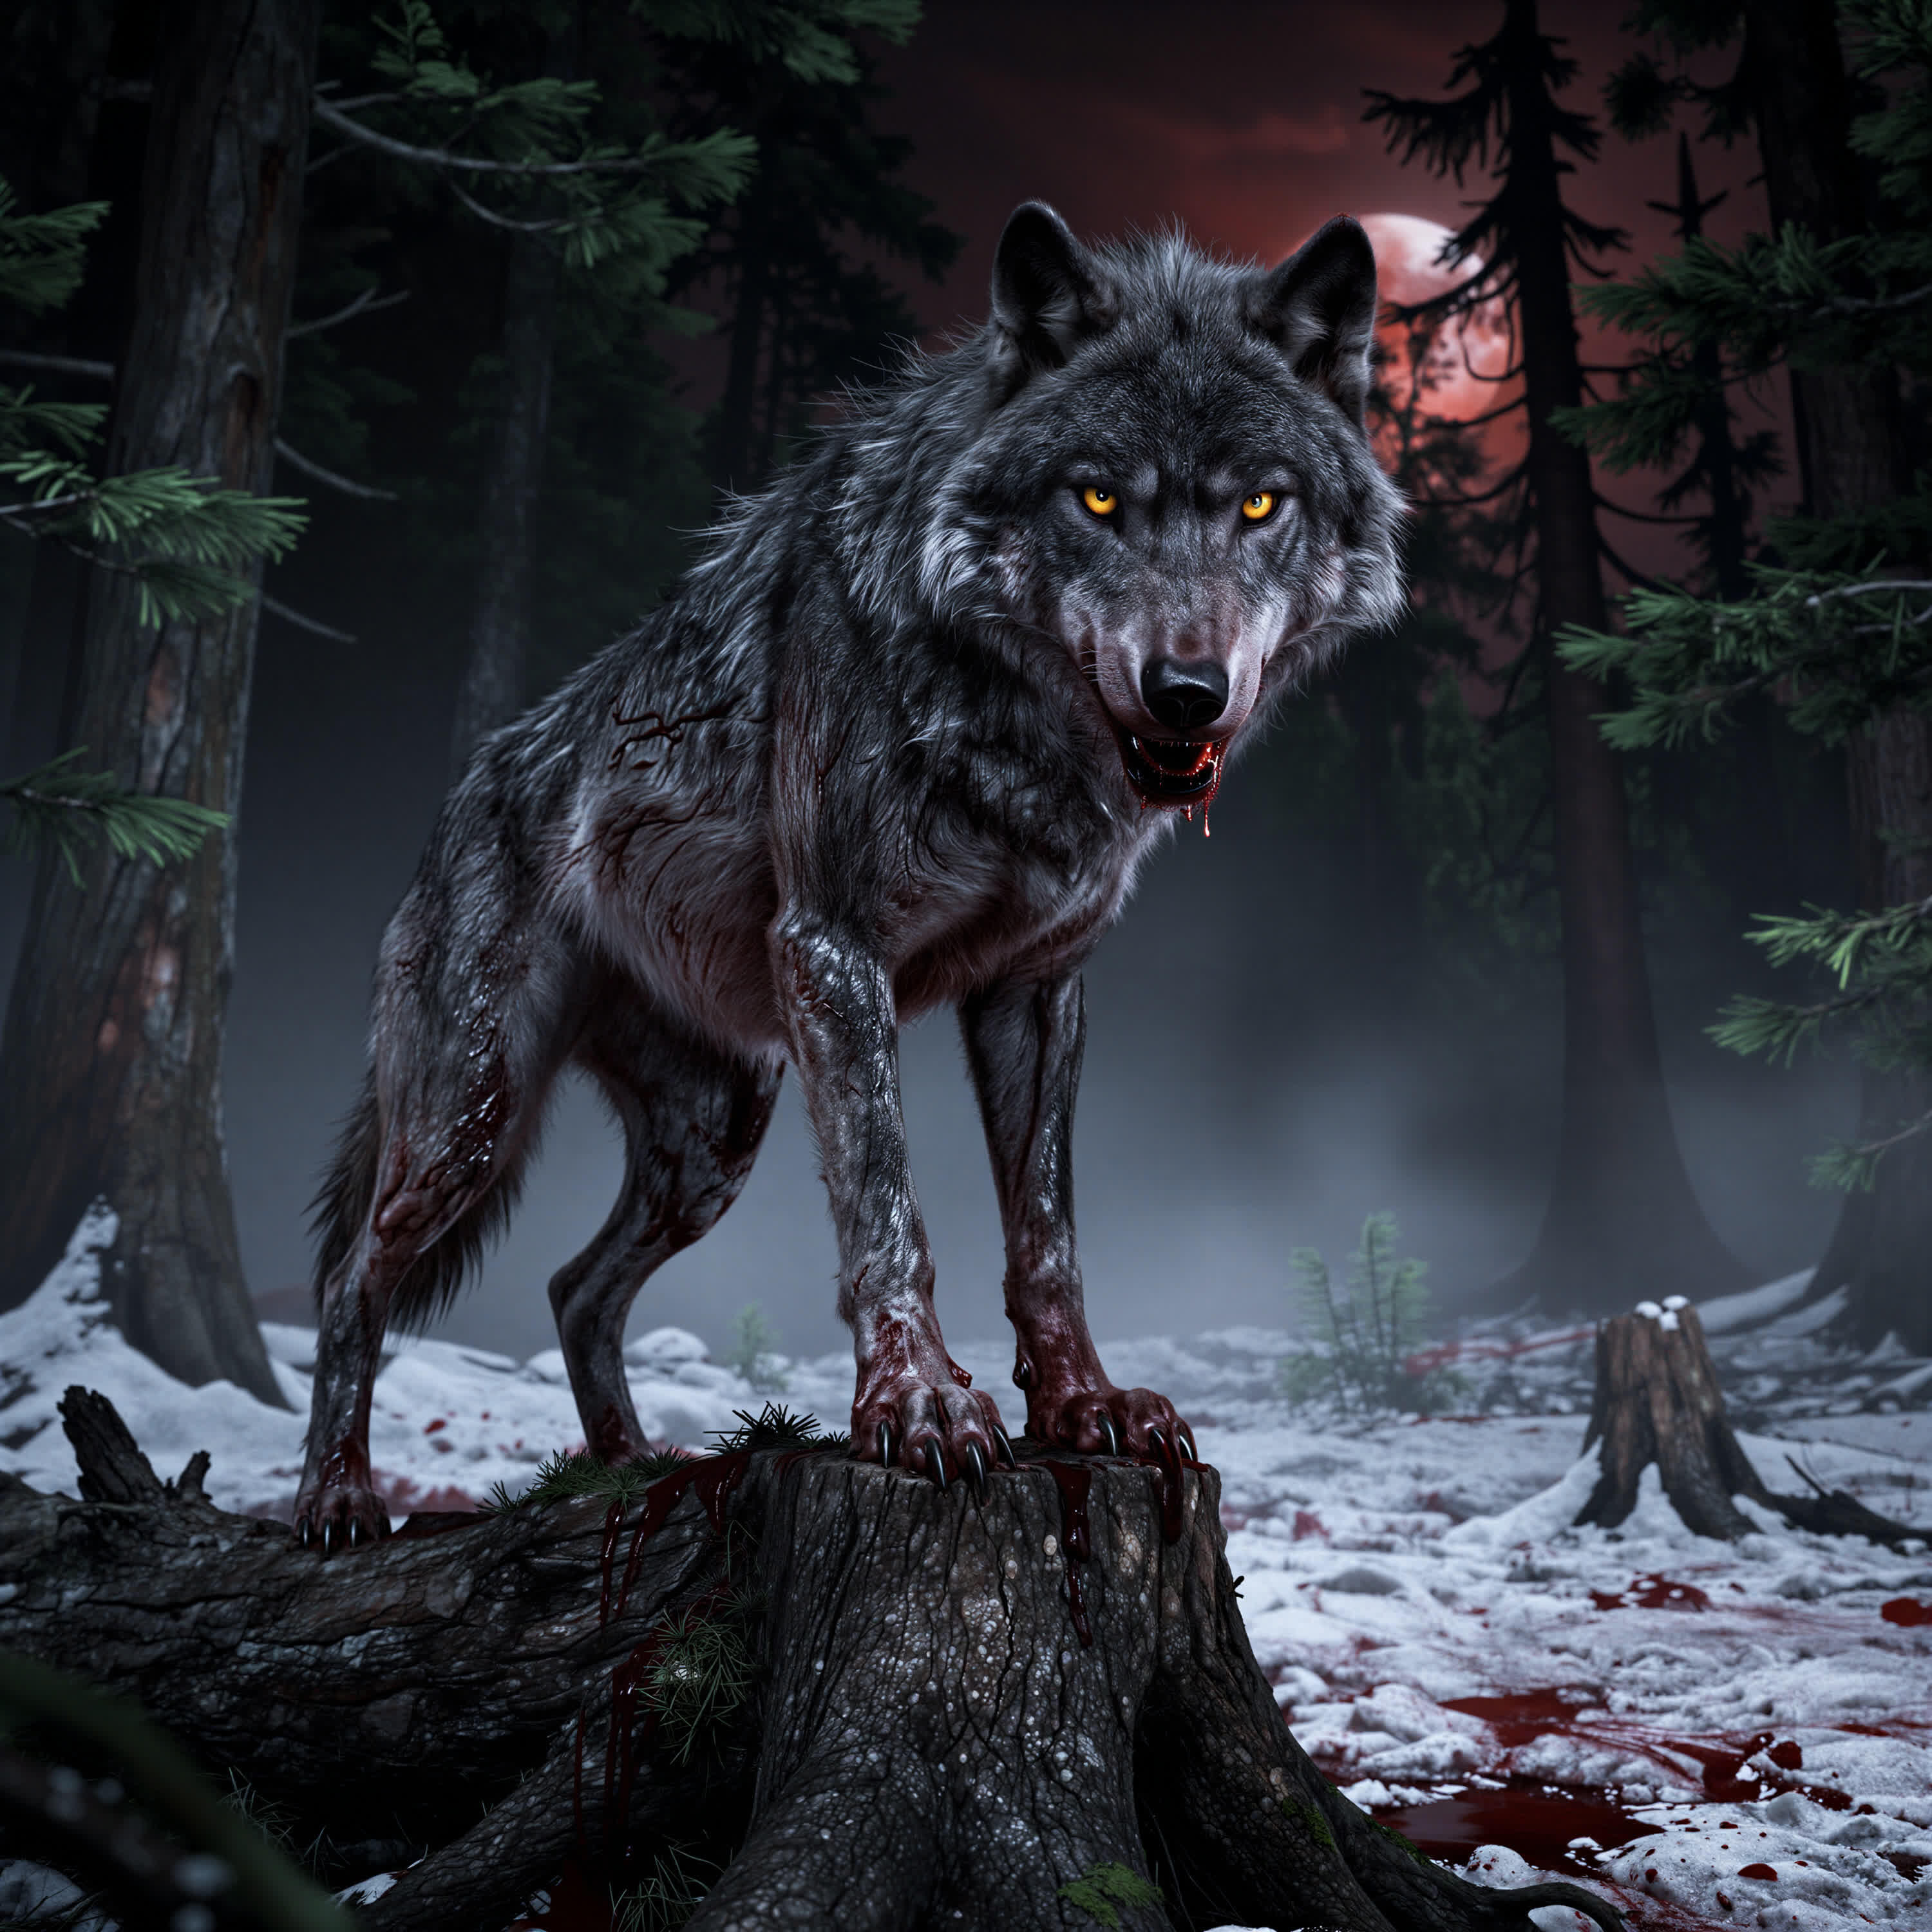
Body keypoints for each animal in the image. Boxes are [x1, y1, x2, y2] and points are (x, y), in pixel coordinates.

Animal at [293, 202, 1403, 1549]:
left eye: (1258, 505)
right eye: (1096, 498)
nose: (1187, 693)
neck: (1011, 733)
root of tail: (461, 796)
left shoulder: (1039, 988)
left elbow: (1047, 1233)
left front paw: (1082, 1405)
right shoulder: (834, 952)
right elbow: (890, 1206)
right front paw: (920, 1404)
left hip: (710, 1145)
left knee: (570, 1287)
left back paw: (630, 1470)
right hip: (474, 1120)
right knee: (352, 1280)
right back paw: (337, 1495)